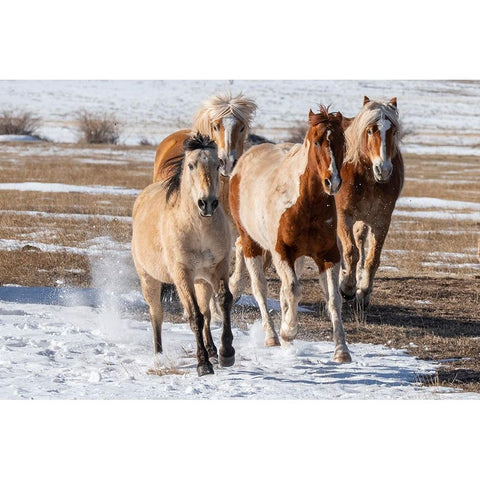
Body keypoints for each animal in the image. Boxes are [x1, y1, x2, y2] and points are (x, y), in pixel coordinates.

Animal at [131, 132, 234, 376]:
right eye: (191, 165)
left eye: (217, 164)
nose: (207, 203)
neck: (199, 229)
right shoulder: (182, 275)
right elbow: (194, 316)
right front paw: (203, 364)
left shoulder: (219, 267)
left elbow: (224, 301)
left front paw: (226, 353)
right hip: (149, 280)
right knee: (156, 315)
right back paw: (158, 355)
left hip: (202, 281)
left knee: (207, 311)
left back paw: (212, 349)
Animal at [227, 104, 350, 360]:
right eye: (317, 141)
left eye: (341, 142)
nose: (332, 181)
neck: (306, 204)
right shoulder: (282, 252)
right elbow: (293, 290)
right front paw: (288, 331)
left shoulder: (328, 255)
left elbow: (333, 299)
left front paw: (341, 350)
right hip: (252, 243)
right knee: (260, 288)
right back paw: (272, 336)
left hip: (298, 258)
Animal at [334, 95, 404, 310]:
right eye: (370, 130)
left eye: (394, 131)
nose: (384, 169)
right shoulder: (343, 216)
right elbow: (350, 252)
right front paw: (347, 288)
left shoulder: (381, 220)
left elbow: (372, 258)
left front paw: (363, 292)